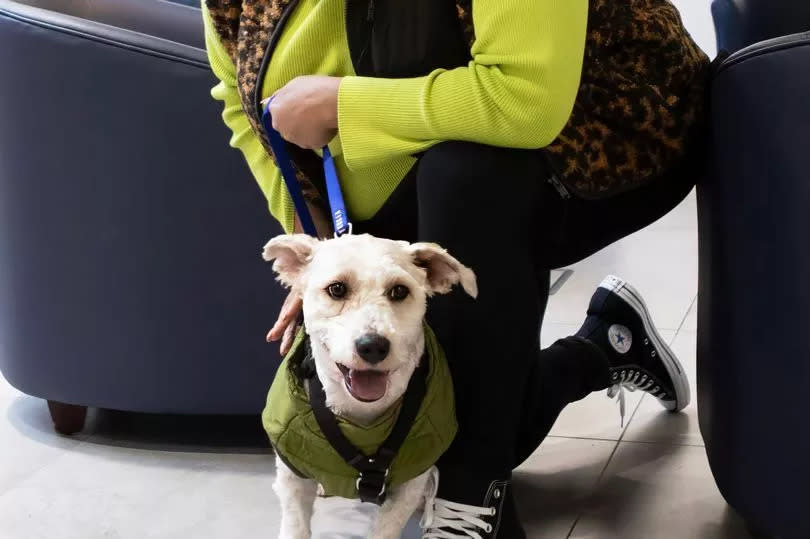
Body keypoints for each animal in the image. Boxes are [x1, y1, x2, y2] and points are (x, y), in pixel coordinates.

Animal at [260, 233, 474, 539]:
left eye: (399, 291)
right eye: (337, 289)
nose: (373, 346)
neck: (361, 418)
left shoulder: (409, 484)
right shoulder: (293, 480)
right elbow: (295, 526)